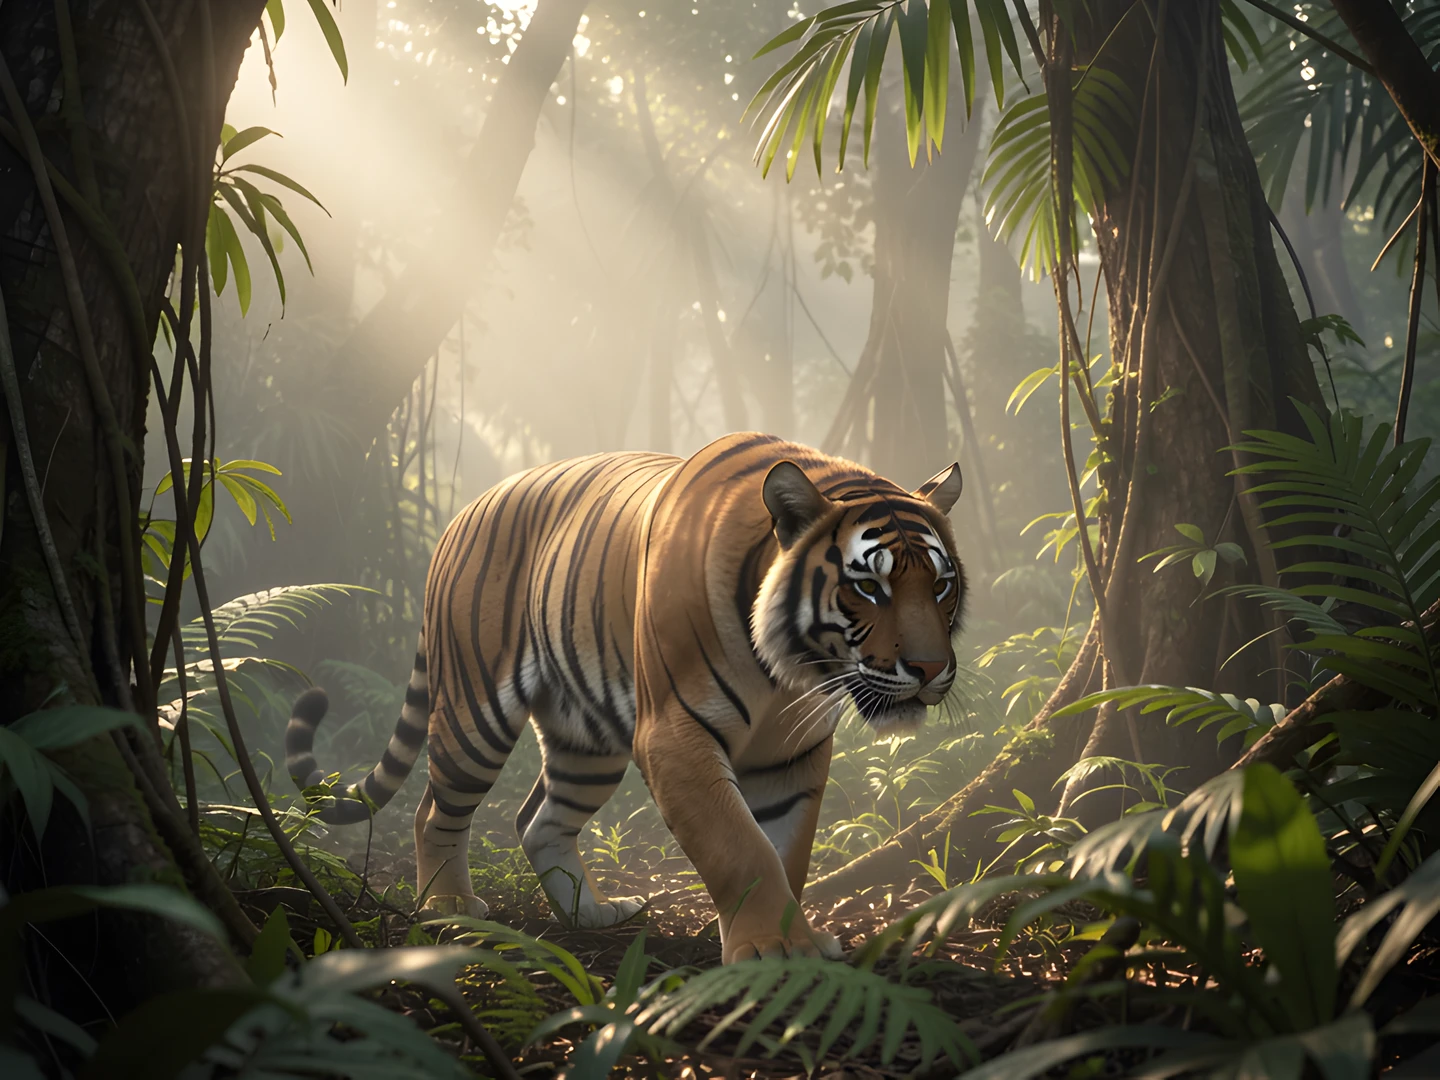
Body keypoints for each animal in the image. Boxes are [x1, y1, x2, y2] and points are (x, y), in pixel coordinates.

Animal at [286, 432, 966, 962]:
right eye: (870, 586)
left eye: (941, 585)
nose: (930, 667)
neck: (792, 671)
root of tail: (461, 514)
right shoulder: (675, 736)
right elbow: (739, 847)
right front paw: (771, 950)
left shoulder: (791, 754)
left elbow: (787, 852)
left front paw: (791, 941)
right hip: (475, 712)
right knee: (435, 810)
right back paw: (449, 909)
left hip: (586, 742)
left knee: (538, 820)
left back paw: (591, 914)